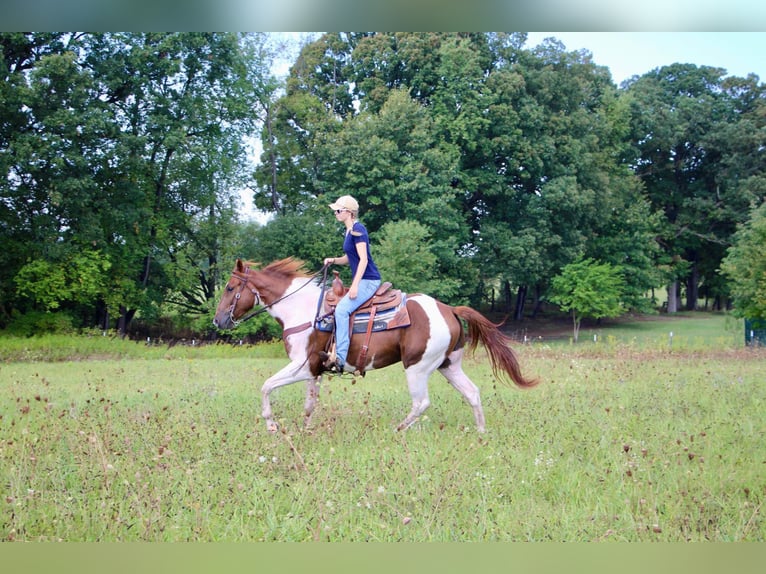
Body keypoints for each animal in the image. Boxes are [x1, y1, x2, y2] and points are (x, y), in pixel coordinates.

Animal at [212, 258, 540, 434]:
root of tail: (448, 308)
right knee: (472, 392)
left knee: (421, 403)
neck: (301, 310)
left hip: (417, 367)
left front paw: (271, 424)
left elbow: (266, 386)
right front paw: (305, 429)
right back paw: (481, 431)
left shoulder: (302, 366)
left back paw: (399, 429)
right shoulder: (314, 371)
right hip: (448, 365)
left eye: (230, 287)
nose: (218, 320)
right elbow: (309, 404)